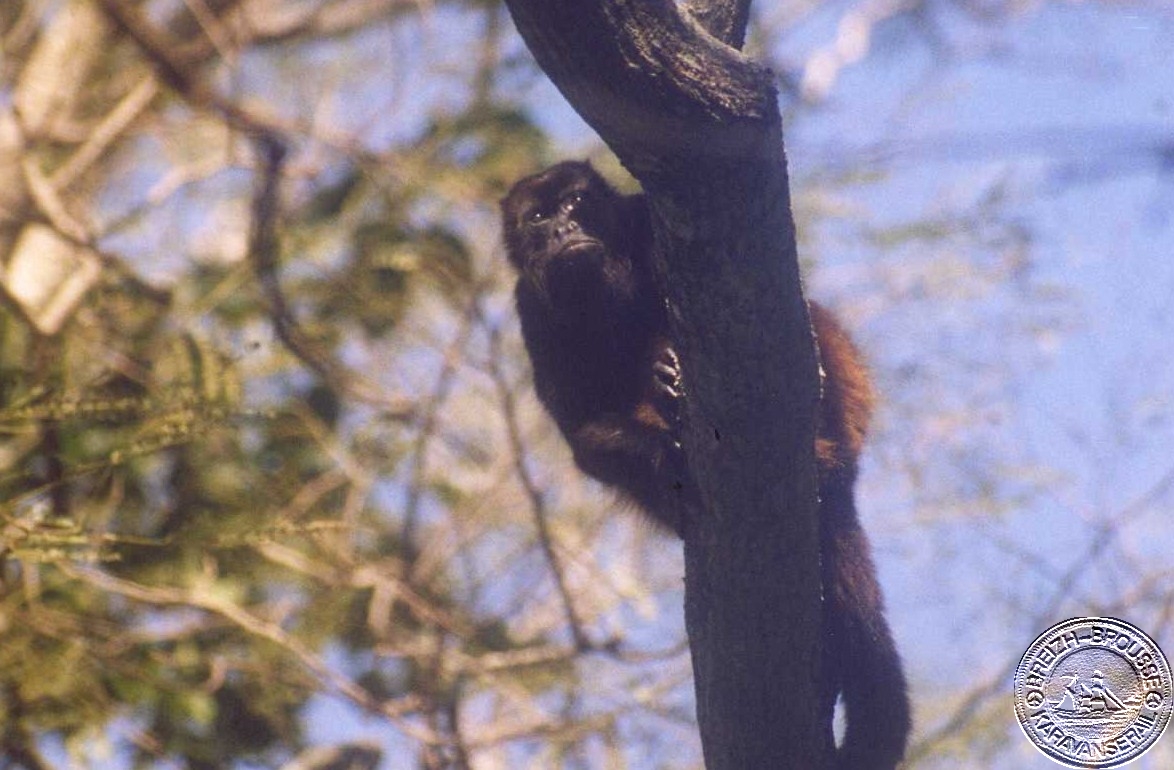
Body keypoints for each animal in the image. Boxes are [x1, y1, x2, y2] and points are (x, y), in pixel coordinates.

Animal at [500, 161, 911, 770]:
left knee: (809, 330)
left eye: (576, 204)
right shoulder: (533, 314)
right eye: (538, 217)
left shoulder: (647, 227)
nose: (562, 230)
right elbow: (586, 435)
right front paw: (660, 446)